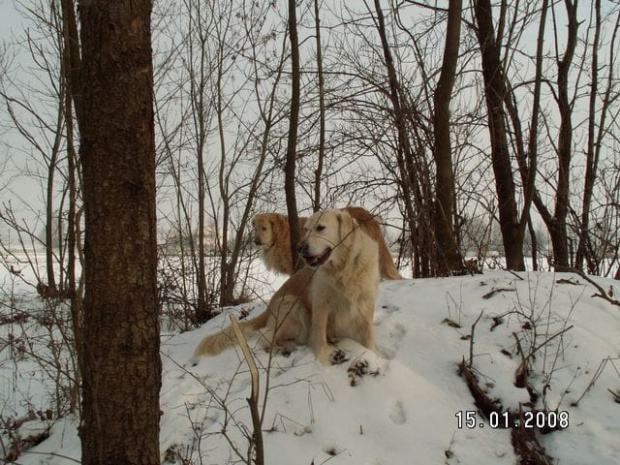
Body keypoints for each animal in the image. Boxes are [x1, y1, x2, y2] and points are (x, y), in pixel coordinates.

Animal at [194, 208, 380, 364]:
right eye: (306, 229)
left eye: (320, 228)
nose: (299, 248)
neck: (343, 268)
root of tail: (268, 309)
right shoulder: (321, 304)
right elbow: (319, 336)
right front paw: (322, 361)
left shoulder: (366, 303)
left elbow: (368, 335)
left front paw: (374, 355)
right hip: (292, 304)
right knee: (267, 337)